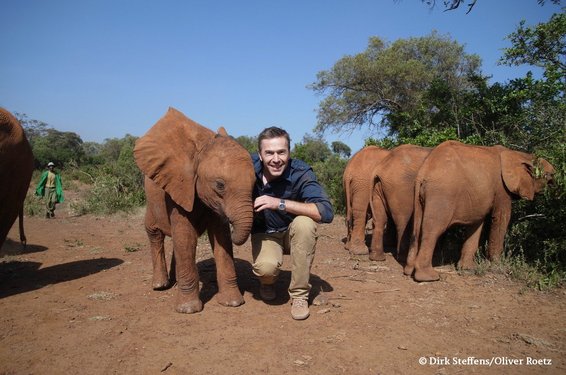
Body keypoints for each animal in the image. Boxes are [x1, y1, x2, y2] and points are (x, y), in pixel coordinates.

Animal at [135, 108, 255, 314]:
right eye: (220, 185)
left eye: (256, 184)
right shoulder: (179, 189)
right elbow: (186, 237)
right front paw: (188, 310)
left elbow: (221, 237)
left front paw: (232, 303)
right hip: (151, 202)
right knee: (154, 233)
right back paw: (160, 286)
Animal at [406, 140, 556, 282]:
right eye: (548, 176)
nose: (555, 180)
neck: (520, 154)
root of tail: (424, 171)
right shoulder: (501, 188)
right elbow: (501, 219)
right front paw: (496, 265)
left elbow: (477, 223)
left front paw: (468, 269)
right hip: (442, 194)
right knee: (433, 229)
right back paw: (429, 277)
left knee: (417, 227)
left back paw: (409, 271)